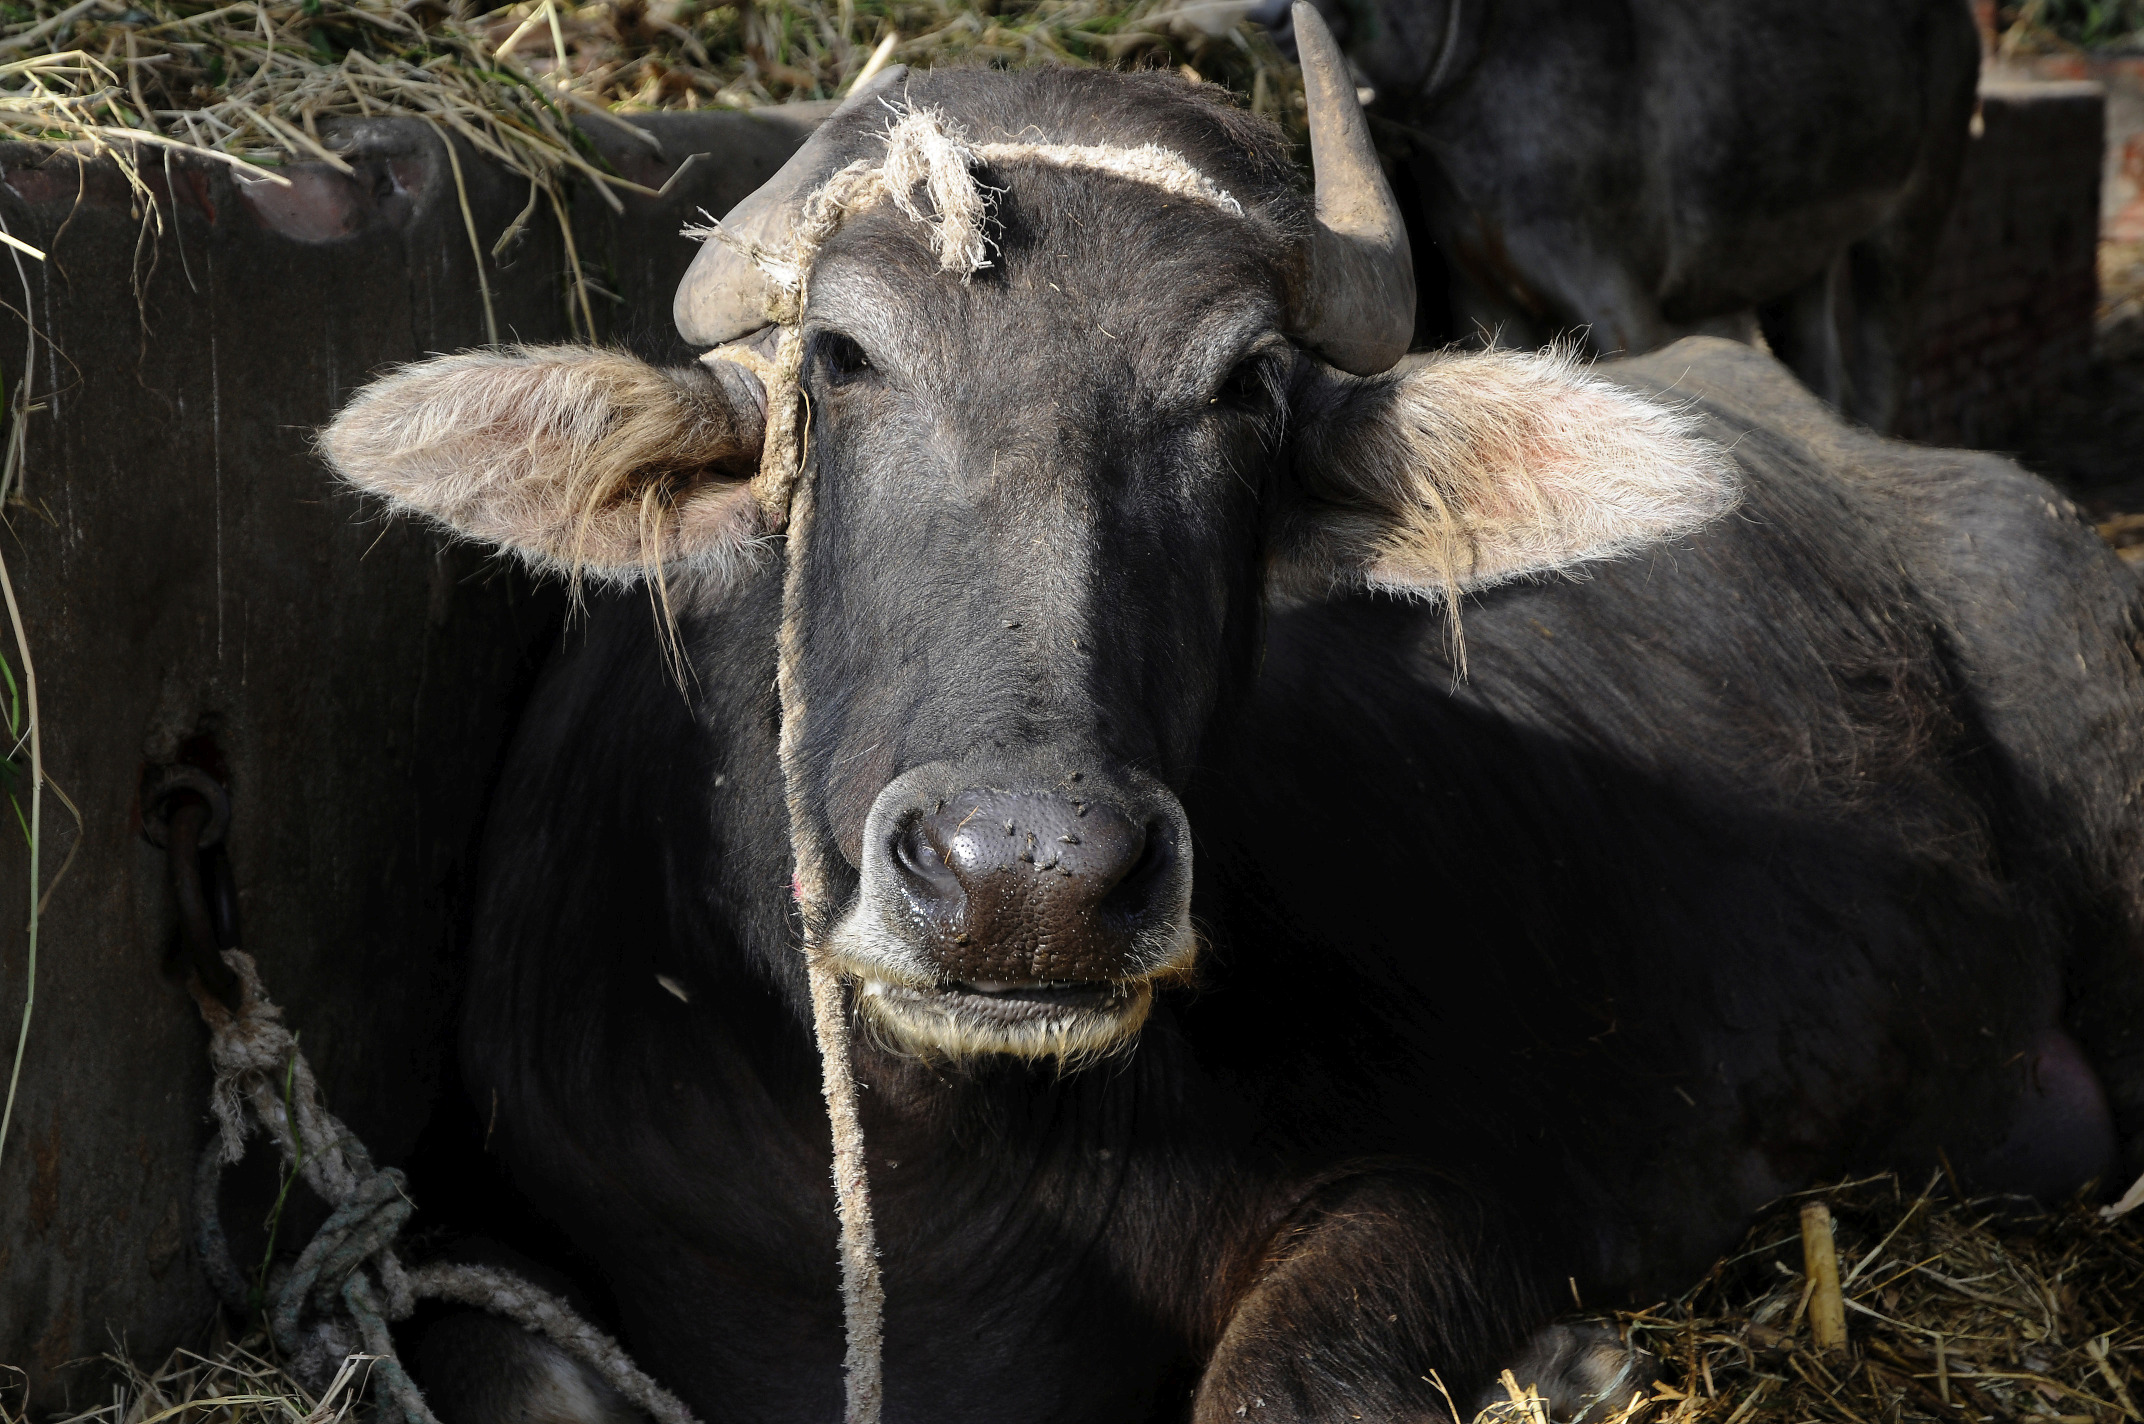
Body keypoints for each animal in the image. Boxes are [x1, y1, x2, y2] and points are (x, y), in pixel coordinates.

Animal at [324, 13, 2143, 1421]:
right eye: (836, 353)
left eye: (1246, 383)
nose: (1026, 883)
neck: (957, 1172)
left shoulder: (1473, 1179)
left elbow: (1283, 1368)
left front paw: (1567, 1361)